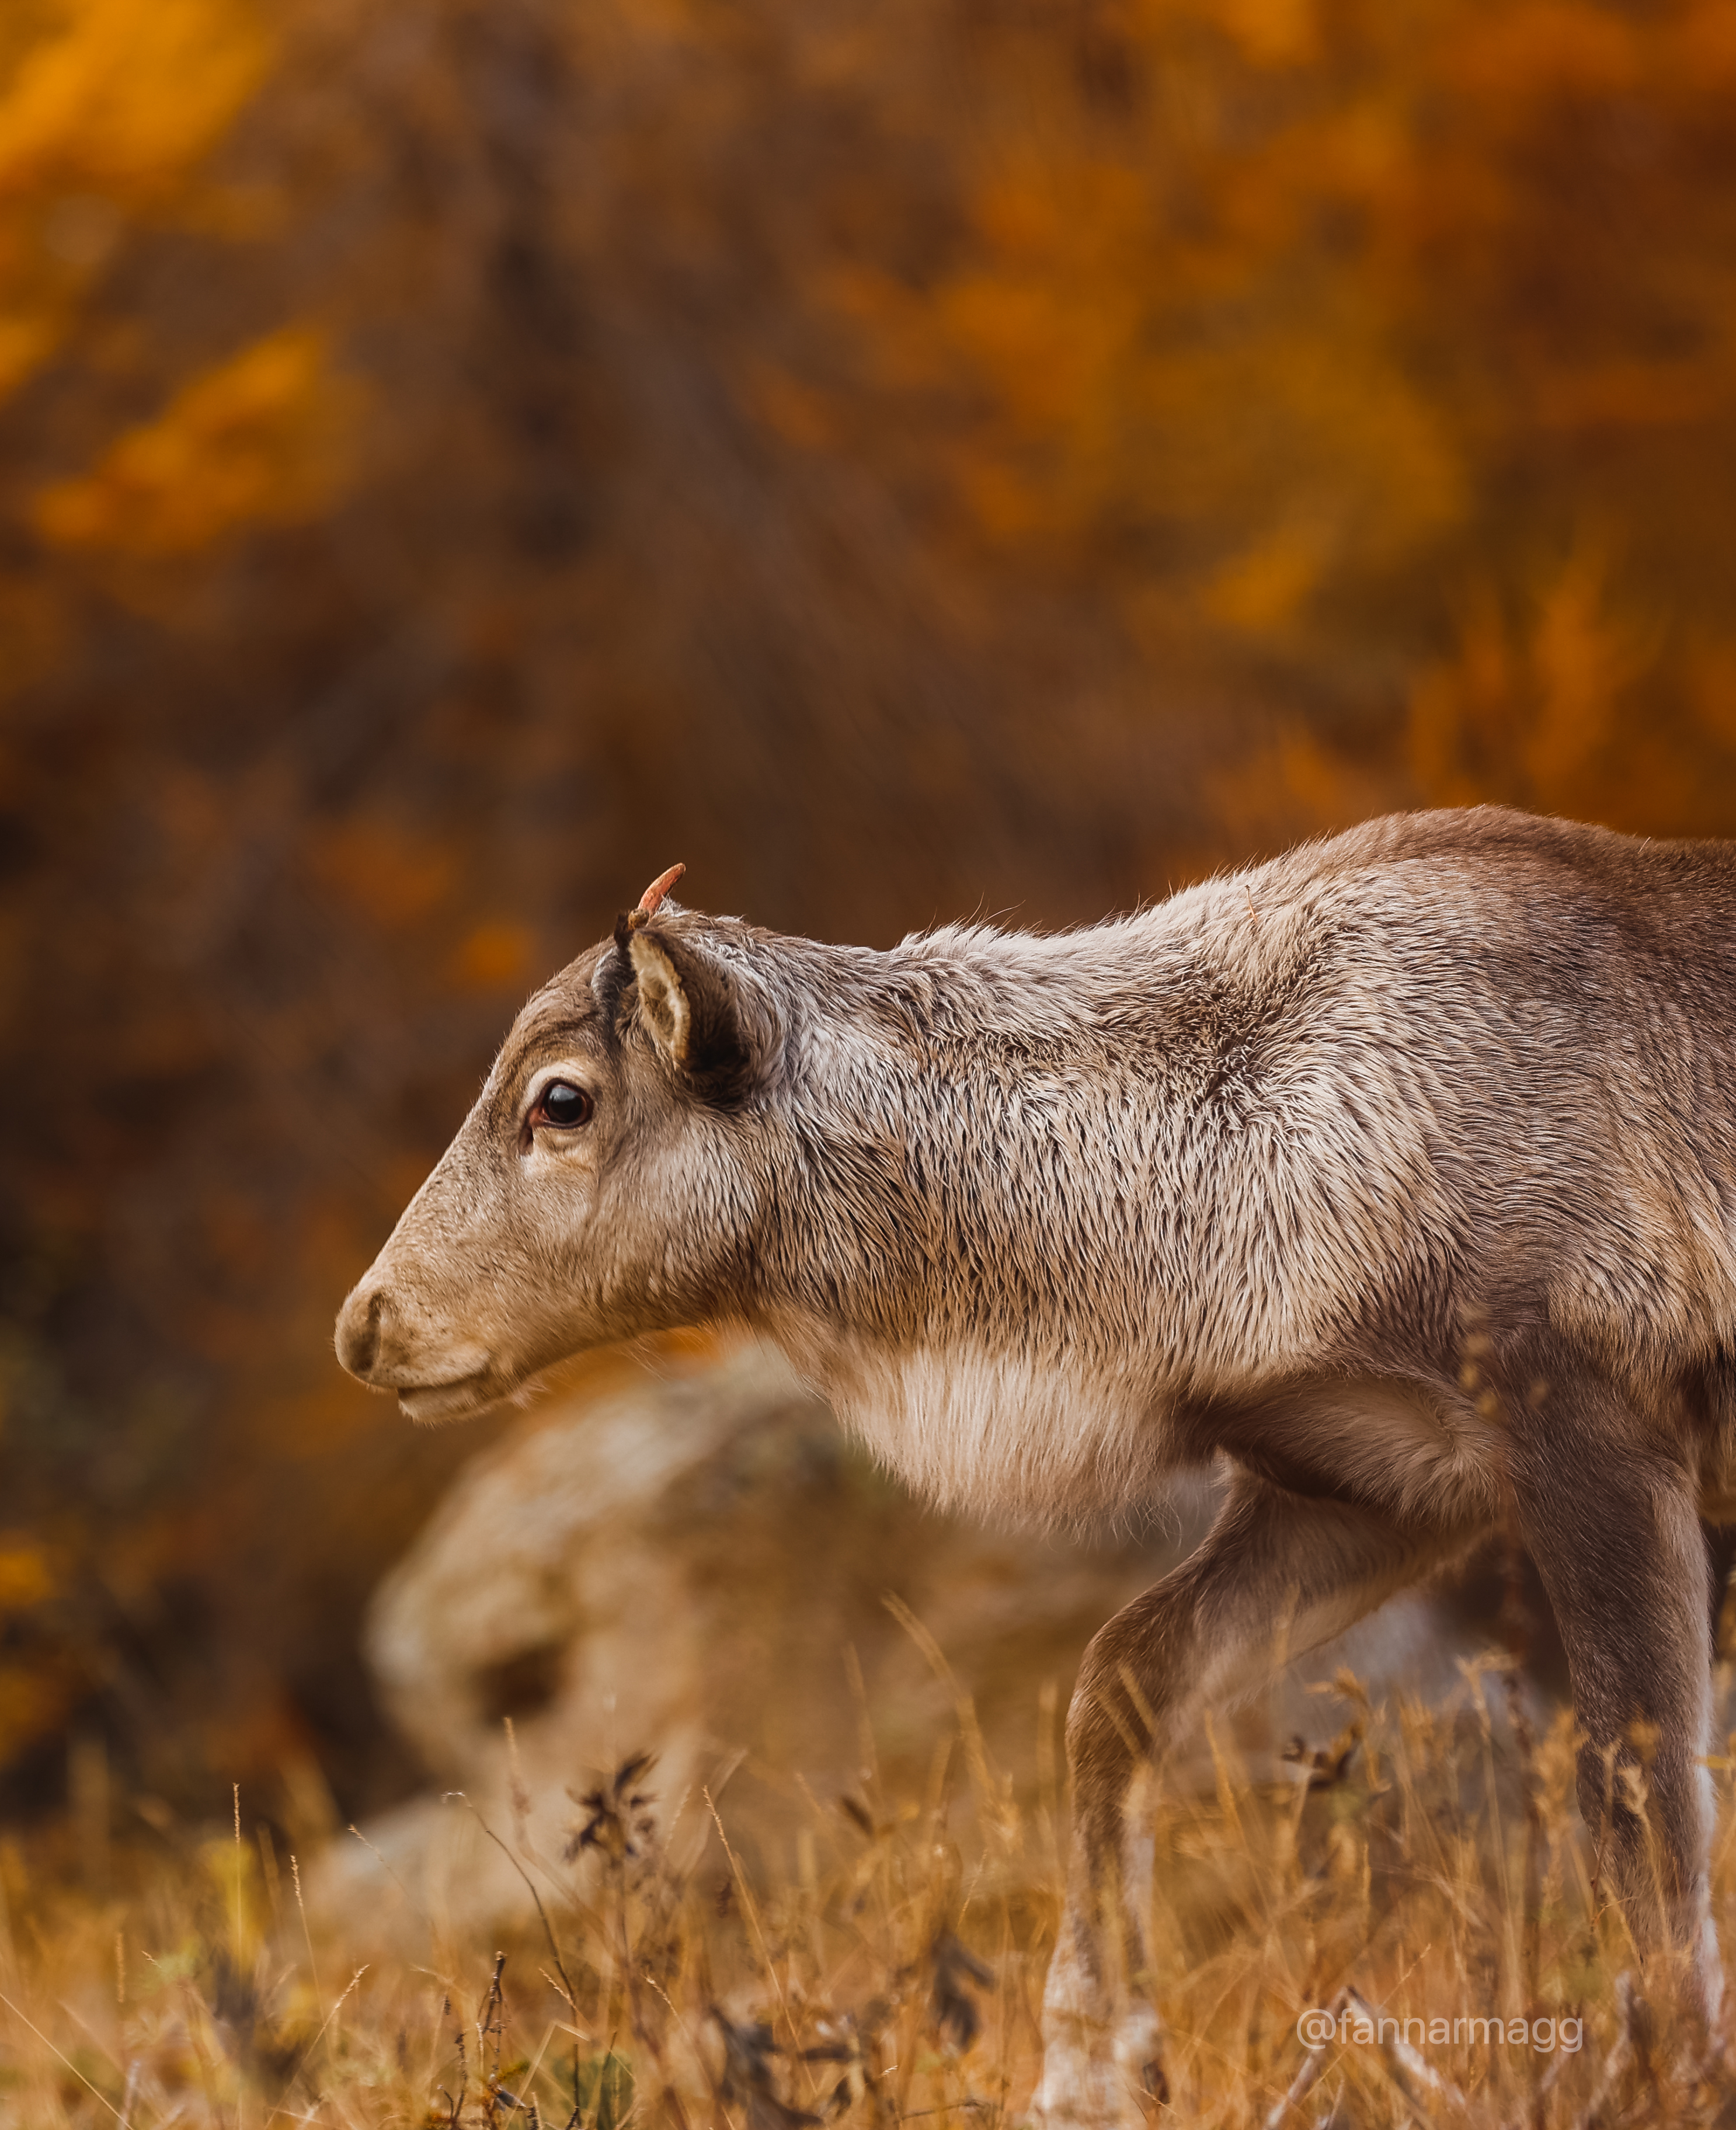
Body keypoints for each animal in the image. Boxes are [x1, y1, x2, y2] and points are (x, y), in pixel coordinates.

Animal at [337, 806, 1736, 2123]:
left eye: (560, 1099)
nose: (368, 1324)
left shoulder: (1593, 1425)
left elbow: (1639, 1800)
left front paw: (1673, 2072)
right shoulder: (1379, 1486)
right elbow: (1116, 1685)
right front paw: (1089, 2067)